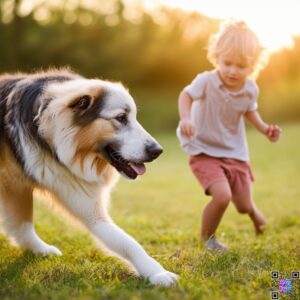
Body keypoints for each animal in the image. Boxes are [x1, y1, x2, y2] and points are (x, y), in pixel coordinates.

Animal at [0, 69, 178, 286]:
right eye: (121, 118)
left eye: (134, 117)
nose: (157, 151)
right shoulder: (17, 184)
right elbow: (130, 243)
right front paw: (158, 274)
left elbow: (20, 224)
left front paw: (38, 250)